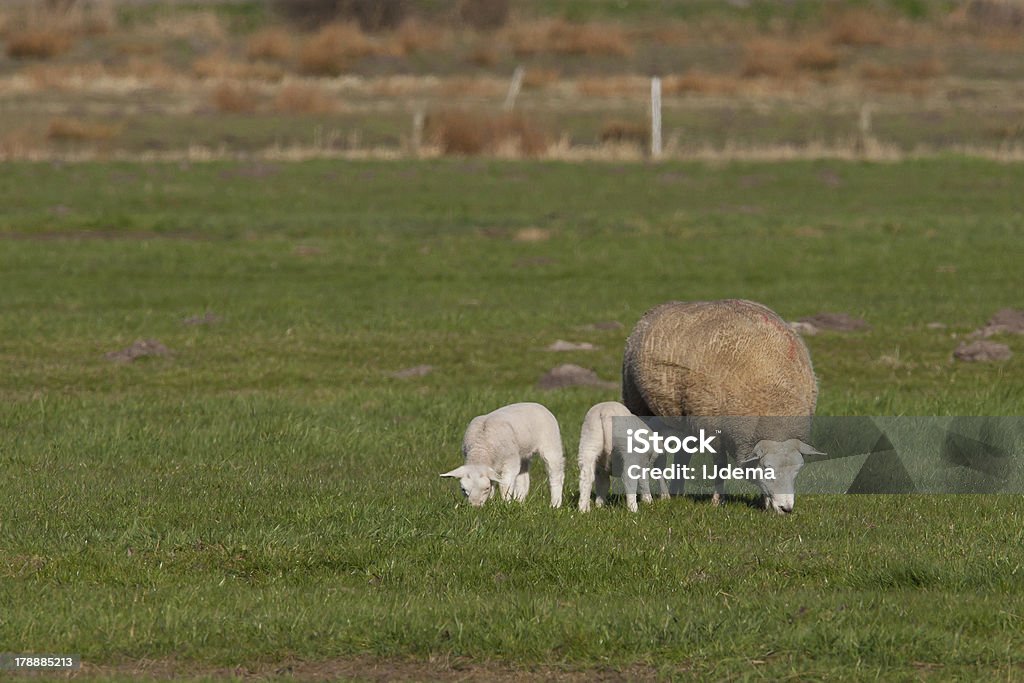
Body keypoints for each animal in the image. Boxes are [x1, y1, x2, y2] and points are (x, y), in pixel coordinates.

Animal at [614, 299, 823, 511]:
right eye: (767, 468)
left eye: (798, 470)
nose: (786, 508)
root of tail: (661, 307)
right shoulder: (712, 429)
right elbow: (720, 466)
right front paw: (717, 501)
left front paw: (765, 502)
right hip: (640, 404)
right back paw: (663, 496)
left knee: (682, 454)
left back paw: (677, 491)